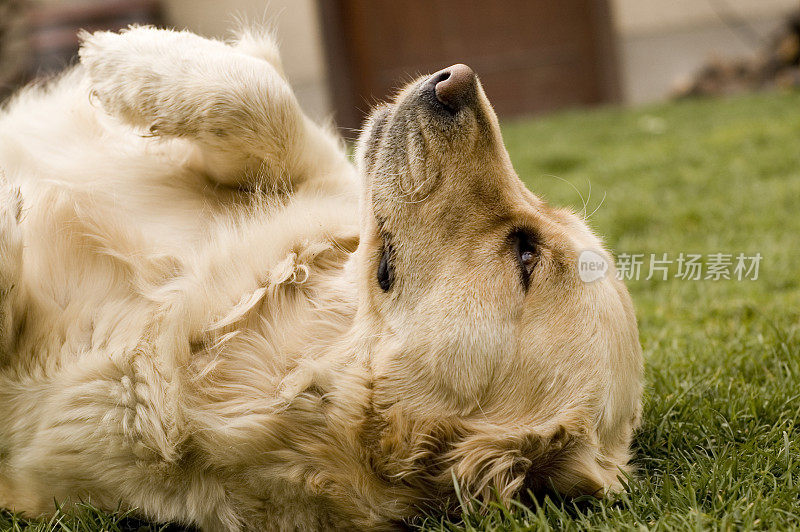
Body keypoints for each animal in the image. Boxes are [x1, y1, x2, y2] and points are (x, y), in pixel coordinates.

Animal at [0, 26, 640, 532]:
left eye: (525, 255)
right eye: (548, 215)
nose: (456, 78)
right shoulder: (322, 181)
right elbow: (263, 96)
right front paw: (128, 55)